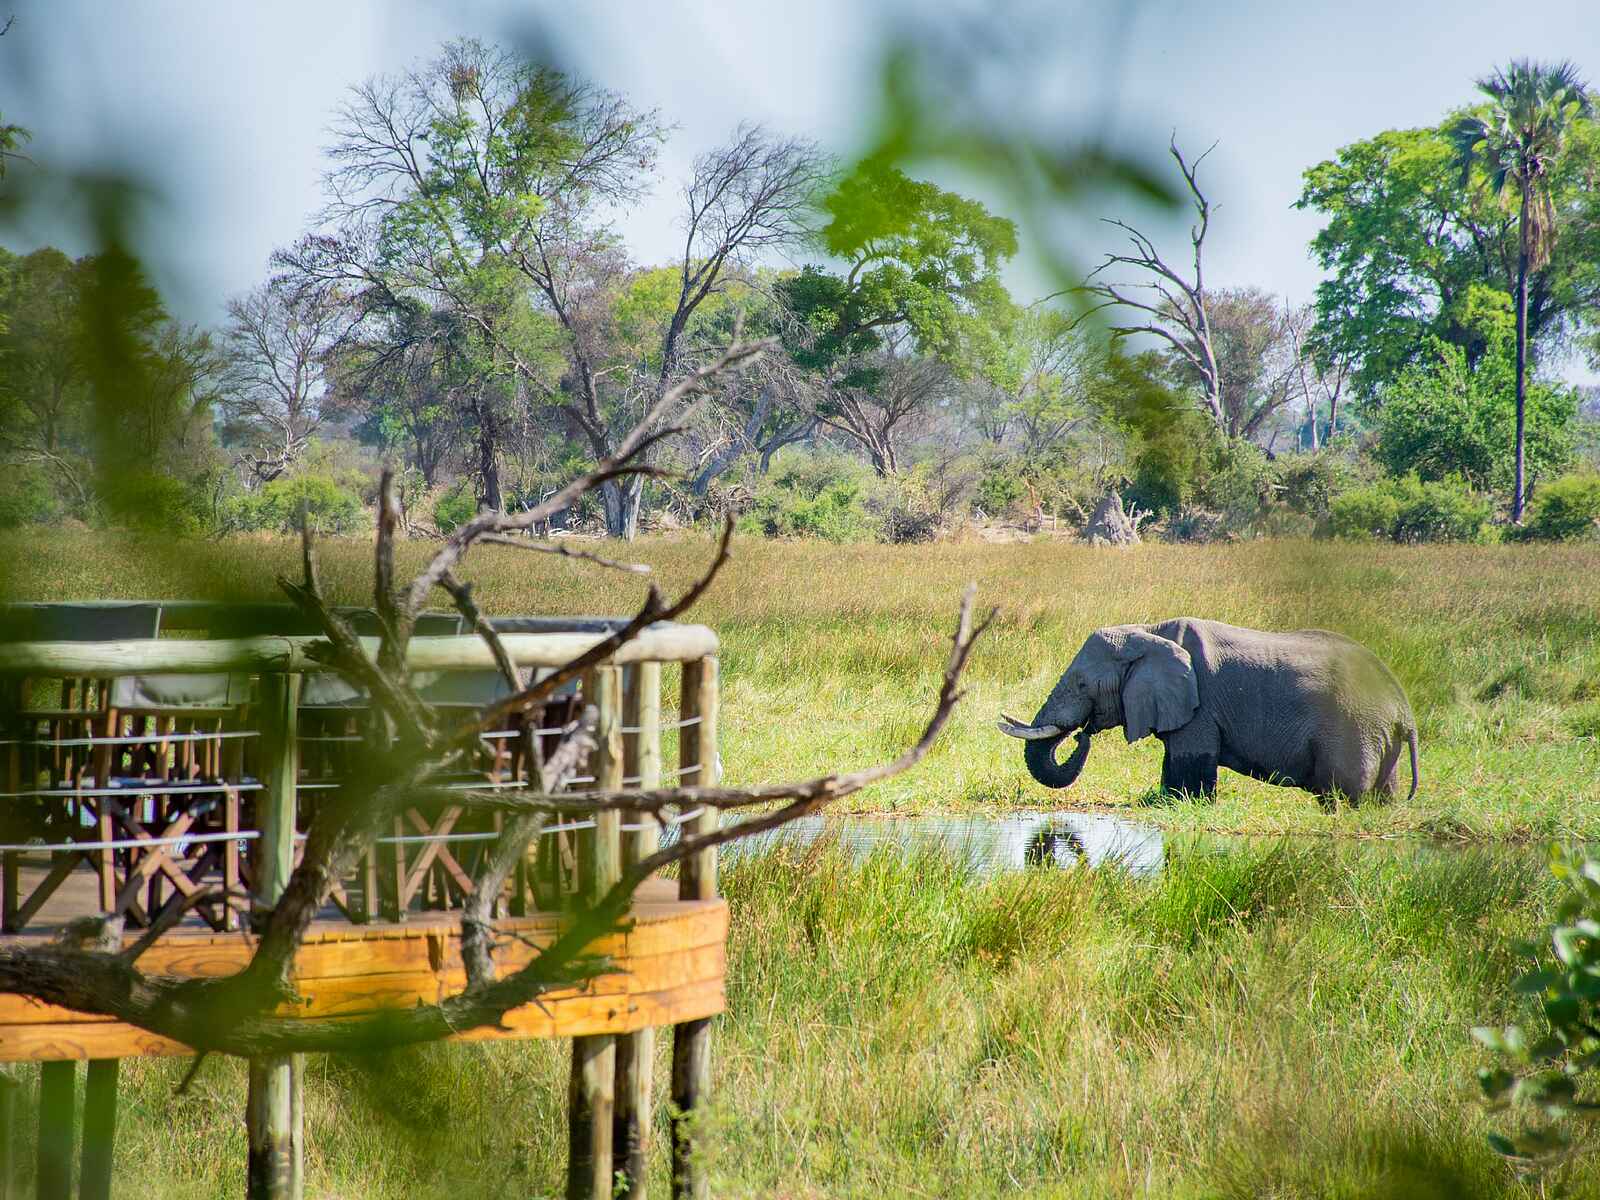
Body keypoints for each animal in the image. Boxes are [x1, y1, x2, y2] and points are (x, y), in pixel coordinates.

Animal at [997, 618, 1419, 806]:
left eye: (1084, 685)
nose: (1082, 734)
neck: (1148, 630)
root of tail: (1404, 708)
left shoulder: (1199, 705)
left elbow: (1191, 760)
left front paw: (1190, 804)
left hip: (1352, 730)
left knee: (1343, 793)